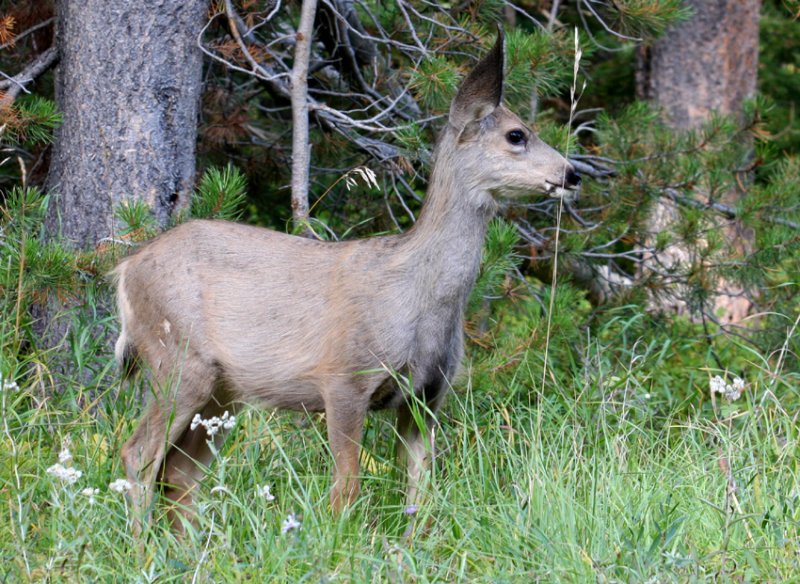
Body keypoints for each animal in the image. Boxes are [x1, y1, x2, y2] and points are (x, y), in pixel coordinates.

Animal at [115, 33, 580, 532]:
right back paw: (143, 547)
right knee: (139, 455)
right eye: (516, 135)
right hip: (177, 356)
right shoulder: (343, 378)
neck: (418, 296)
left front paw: (411, 542)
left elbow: (421, 493)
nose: (572, 174)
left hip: (224, 390)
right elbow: (347, 490)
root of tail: (125, 270)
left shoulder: (427, 397)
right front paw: (337, 543)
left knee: (179, 472)